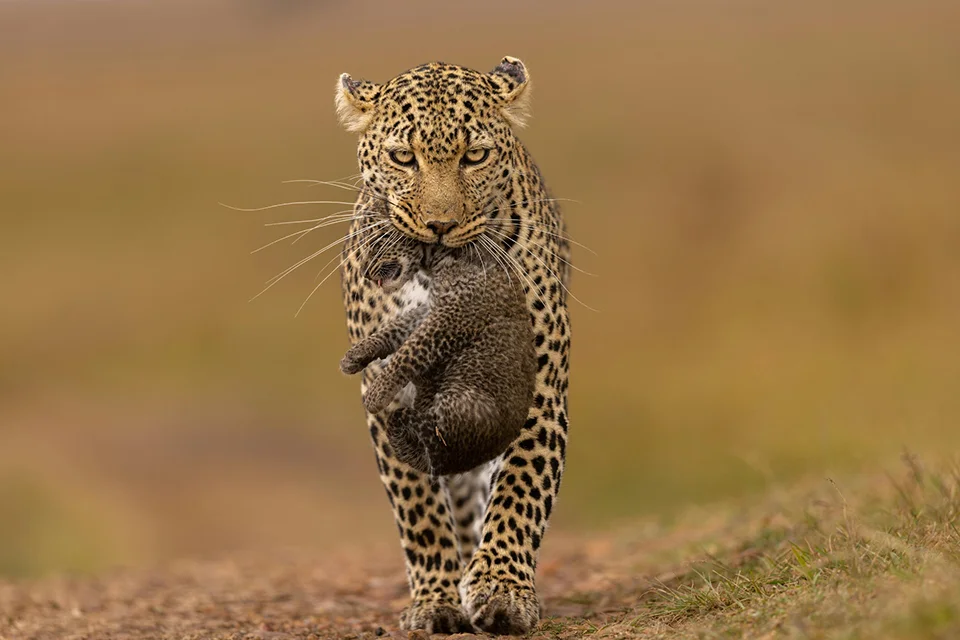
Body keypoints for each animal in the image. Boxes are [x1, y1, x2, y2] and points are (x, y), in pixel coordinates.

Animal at [339, 231, 537, 477]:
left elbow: (410, 351)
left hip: (463, 404)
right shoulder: (431, 309)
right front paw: (356, 356)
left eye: (377, 244)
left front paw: (377, 393)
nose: (364, 272)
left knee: (416, 423)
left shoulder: (451, 316)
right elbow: (397, 328)